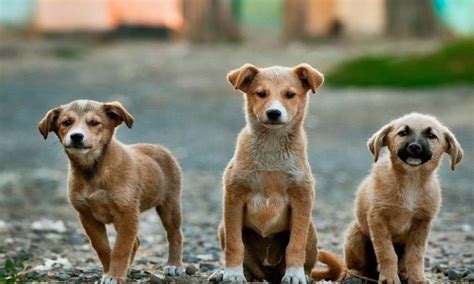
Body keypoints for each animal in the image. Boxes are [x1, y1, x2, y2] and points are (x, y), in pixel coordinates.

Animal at [38, 99, 183, 282]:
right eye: (66, 122)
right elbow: (103, 248)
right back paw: (128, 269)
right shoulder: (87, 216)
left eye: (94, 123)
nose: (76, 136)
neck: (93, 170)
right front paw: (110, 271)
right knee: (136, 242)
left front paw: (114, 275)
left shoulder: (127, 213)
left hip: (169, 206)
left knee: (175, 235)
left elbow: (121, 248)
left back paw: (174, 265)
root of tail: (161, 148)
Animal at [210, 64, 340, 284]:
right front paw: (233, 274)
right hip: (222, 227)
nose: (273, 113)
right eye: (261, 94)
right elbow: (235, 245)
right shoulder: (234, 196)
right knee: (248, 266)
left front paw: (295, 274)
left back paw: (303, 275)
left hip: (311, 229)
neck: (272, 145)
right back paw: (227, 273)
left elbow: (295, 245)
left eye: (290, 94)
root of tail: (268, 274)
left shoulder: (302, 198)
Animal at [342, 113, 464, 284]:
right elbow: (387, 253)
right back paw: (354, 274)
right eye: (403, 133)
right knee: (355, 265)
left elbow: (416, 255)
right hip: (355, 235)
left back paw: (404, 274)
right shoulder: (378, 219)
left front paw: (417, 278)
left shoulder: (422, 223)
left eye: (431, 136)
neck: (411, 182)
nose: (415, 147)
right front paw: (389, 278)